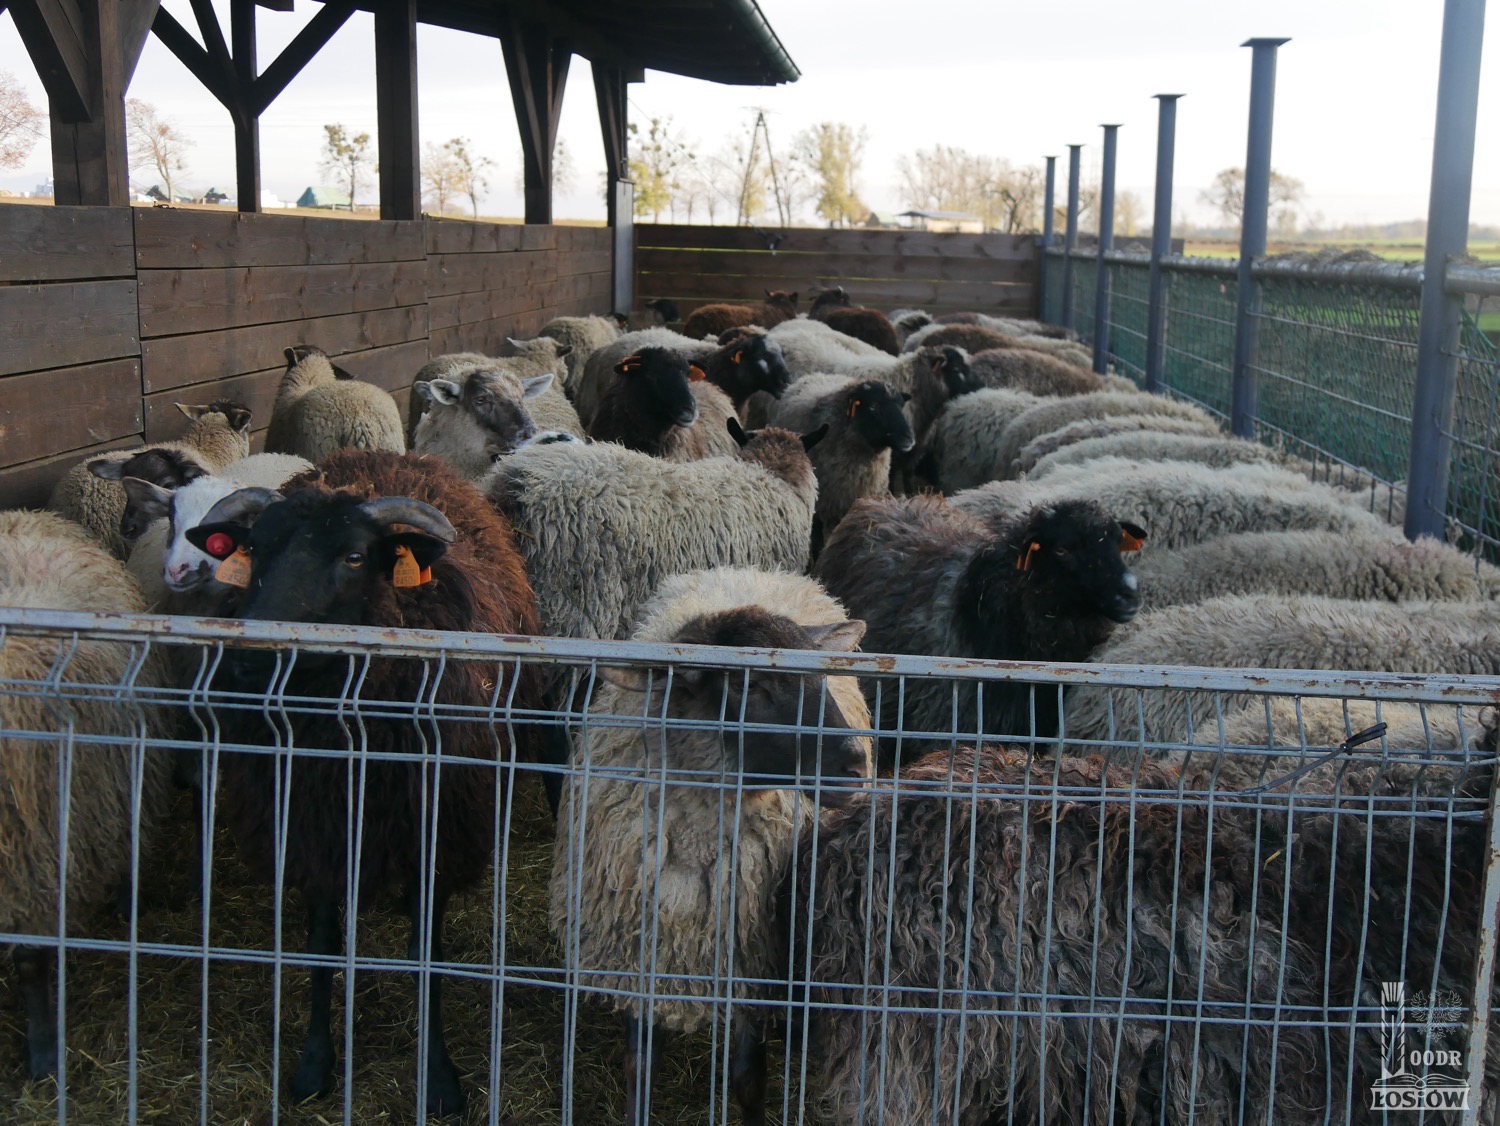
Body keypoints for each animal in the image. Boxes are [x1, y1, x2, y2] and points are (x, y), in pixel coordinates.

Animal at [181, 449, 542, 1115]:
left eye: (353, 557)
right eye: (256, 550)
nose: (250, 657)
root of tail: (388, 456)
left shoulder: (434, 825)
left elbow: (426, 950)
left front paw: (439, 1076)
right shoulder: (313, 825)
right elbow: (323, 943)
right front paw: (314, 1065)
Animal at [548, 566, 871, 1125]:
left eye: (821, 677)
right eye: (749, 685)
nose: (856, 764)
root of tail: (747, 574)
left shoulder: (749, 955)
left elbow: (747, 1076)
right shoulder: (643, 948)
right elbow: (640, 1067)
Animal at [763, 375, 915, 558]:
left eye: (901, 405)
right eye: (873, 406)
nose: (909, 438)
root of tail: (817, 374)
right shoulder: (819, 506)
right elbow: (817, 545)